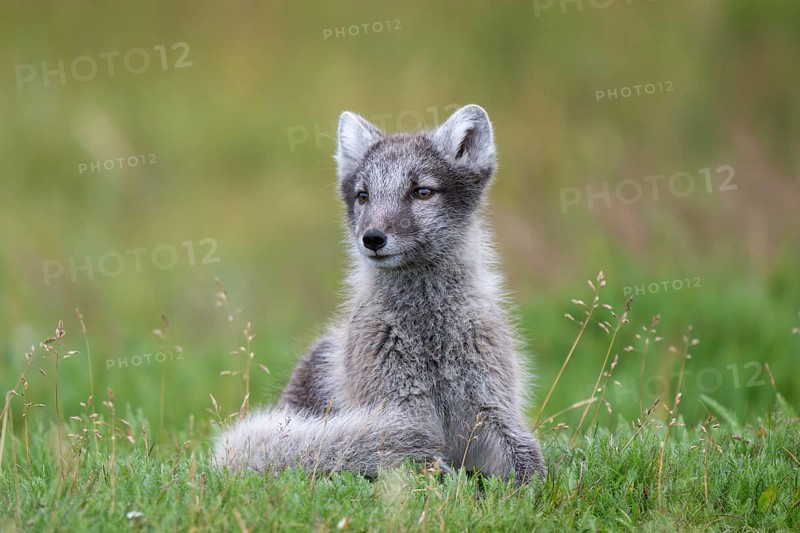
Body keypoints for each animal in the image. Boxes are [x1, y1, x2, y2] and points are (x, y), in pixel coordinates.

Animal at [213, 104, 546, 483]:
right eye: (364, 195)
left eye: (422, 192)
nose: (372, 238)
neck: (429, 330)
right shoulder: (400, 407)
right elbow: (423, 462)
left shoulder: (490, 405)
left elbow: (530, 463)